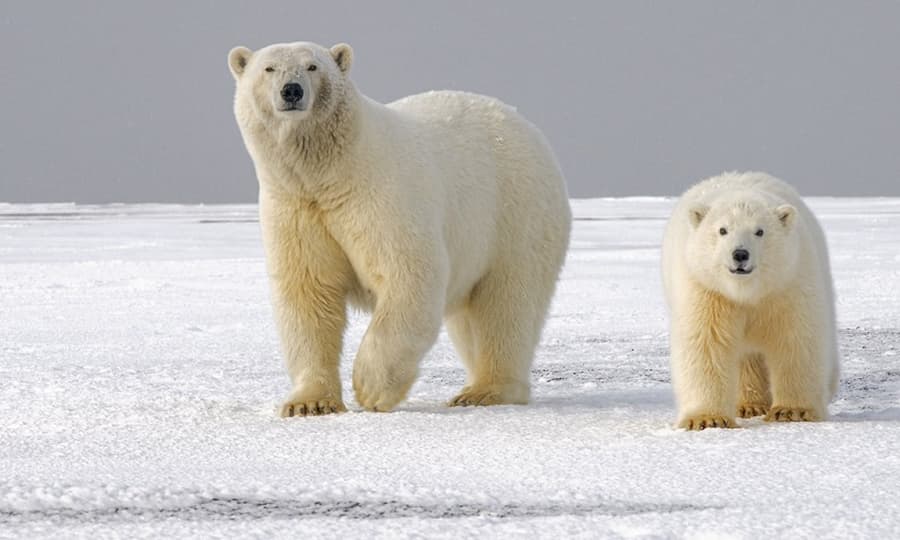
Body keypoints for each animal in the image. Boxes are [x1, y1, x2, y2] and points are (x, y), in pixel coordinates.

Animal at [229, 42, 572, 418]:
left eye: (312, 66)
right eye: (269, 69)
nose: (292, 91)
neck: (331, 173)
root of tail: (526, 125)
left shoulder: (380, 195)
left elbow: (408, 274)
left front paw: (371, 388)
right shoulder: (295, 208)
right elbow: (308, 293)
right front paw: (309, 403)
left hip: (515, 213)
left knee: (506, 303)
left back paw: (485, 390)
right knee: (471, 318)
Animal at [660, 171, 836, 428]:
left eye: (759, 231)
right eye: (722, 230)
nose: (740, 254)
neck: (747, 291)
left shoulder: (788, 283)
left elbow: (796, 339)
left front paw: (792, 411)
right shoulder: (706, 290)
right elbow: (706, 343)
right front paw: (707, 419)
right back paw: (749, 405)